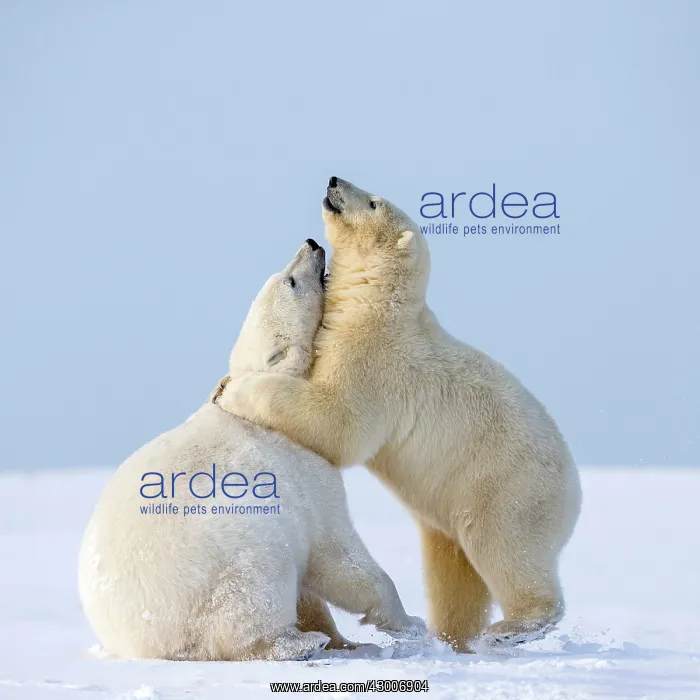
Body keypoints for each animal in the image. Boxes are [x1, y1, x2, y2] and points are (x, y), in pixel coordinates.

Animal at [78, 239, 425, 662]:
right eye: (291, 281)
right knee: (254, 597)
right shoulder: (302, 471)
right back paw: (298, 642)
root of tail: (150, 642)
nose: (312, 244)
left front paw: (348, 640)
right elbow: (337, 554)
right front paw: (409, 624)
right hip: (230, 563)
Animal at [217, 178, 582, 652]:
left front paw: (233, 390)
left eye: (373, 202)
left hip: (507, 487)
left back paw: (508, 629)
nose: (334, 180)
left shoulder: (374, 360)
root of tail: (575, 490)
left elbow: (337, 422)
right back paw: (453, 637)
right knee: (453, 573)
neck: (377, 305)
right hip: (452, 512)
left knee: (505, 548)